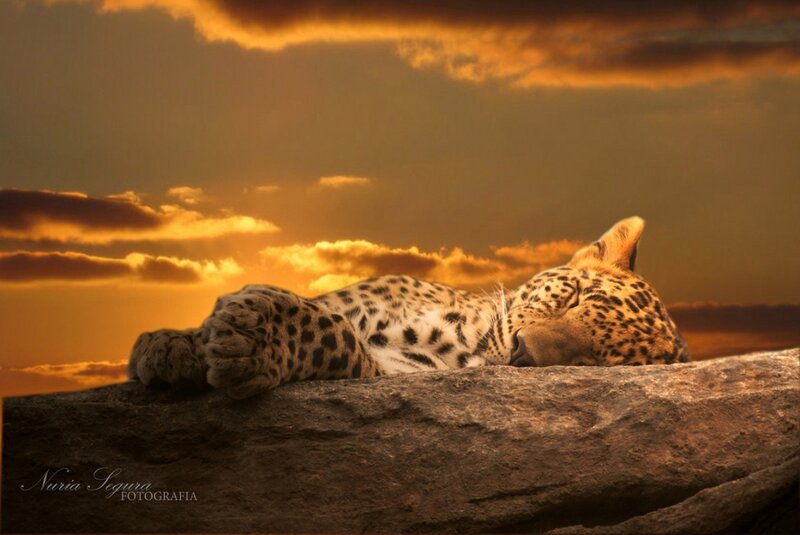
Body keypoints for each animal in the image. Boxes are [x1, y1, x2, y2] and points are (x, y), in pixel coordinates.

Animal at [128, 216, 690, 398]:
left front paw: (251, 342)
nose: (525, 355)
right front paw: (169, 346)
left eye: (595, 362)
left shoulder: (387, 371)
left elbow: (335, 333)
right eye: (572, 297)